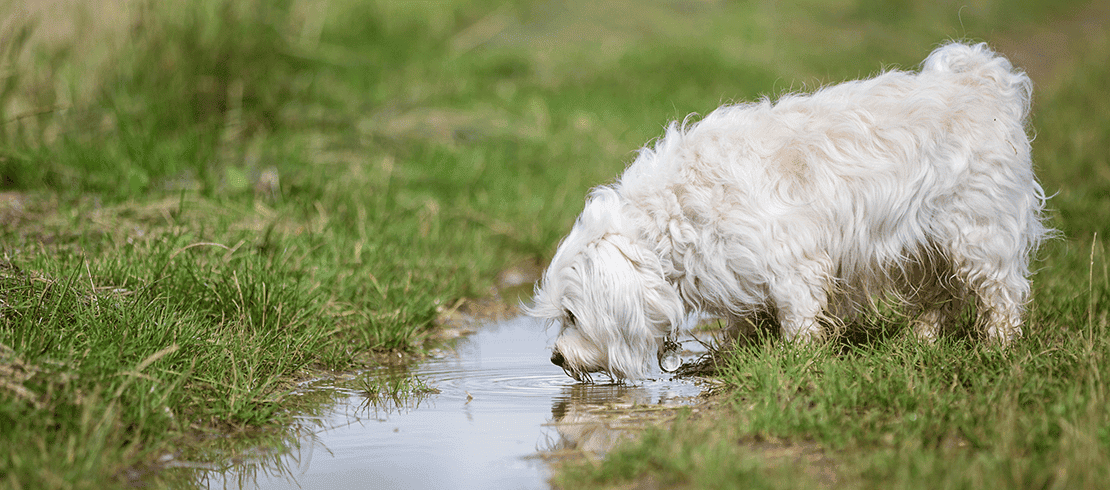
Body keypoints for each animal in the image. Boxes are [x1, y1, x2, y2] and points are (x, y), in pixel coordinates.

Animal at [526, 41, 1047, 382]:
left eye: (571, 315)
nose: (555, 358)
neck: (673, 219)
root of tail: (981, 80)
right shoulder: (737, 272)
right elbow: (741, 326)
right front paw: (726, 360)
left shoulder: (794, 263)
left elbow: (799, 319)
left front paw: (798, 363)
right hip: (923, 244)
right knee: (939, 294)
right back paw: (919, 341)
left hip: (978, 232)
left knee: (1001, 292)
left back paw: (998, 348)